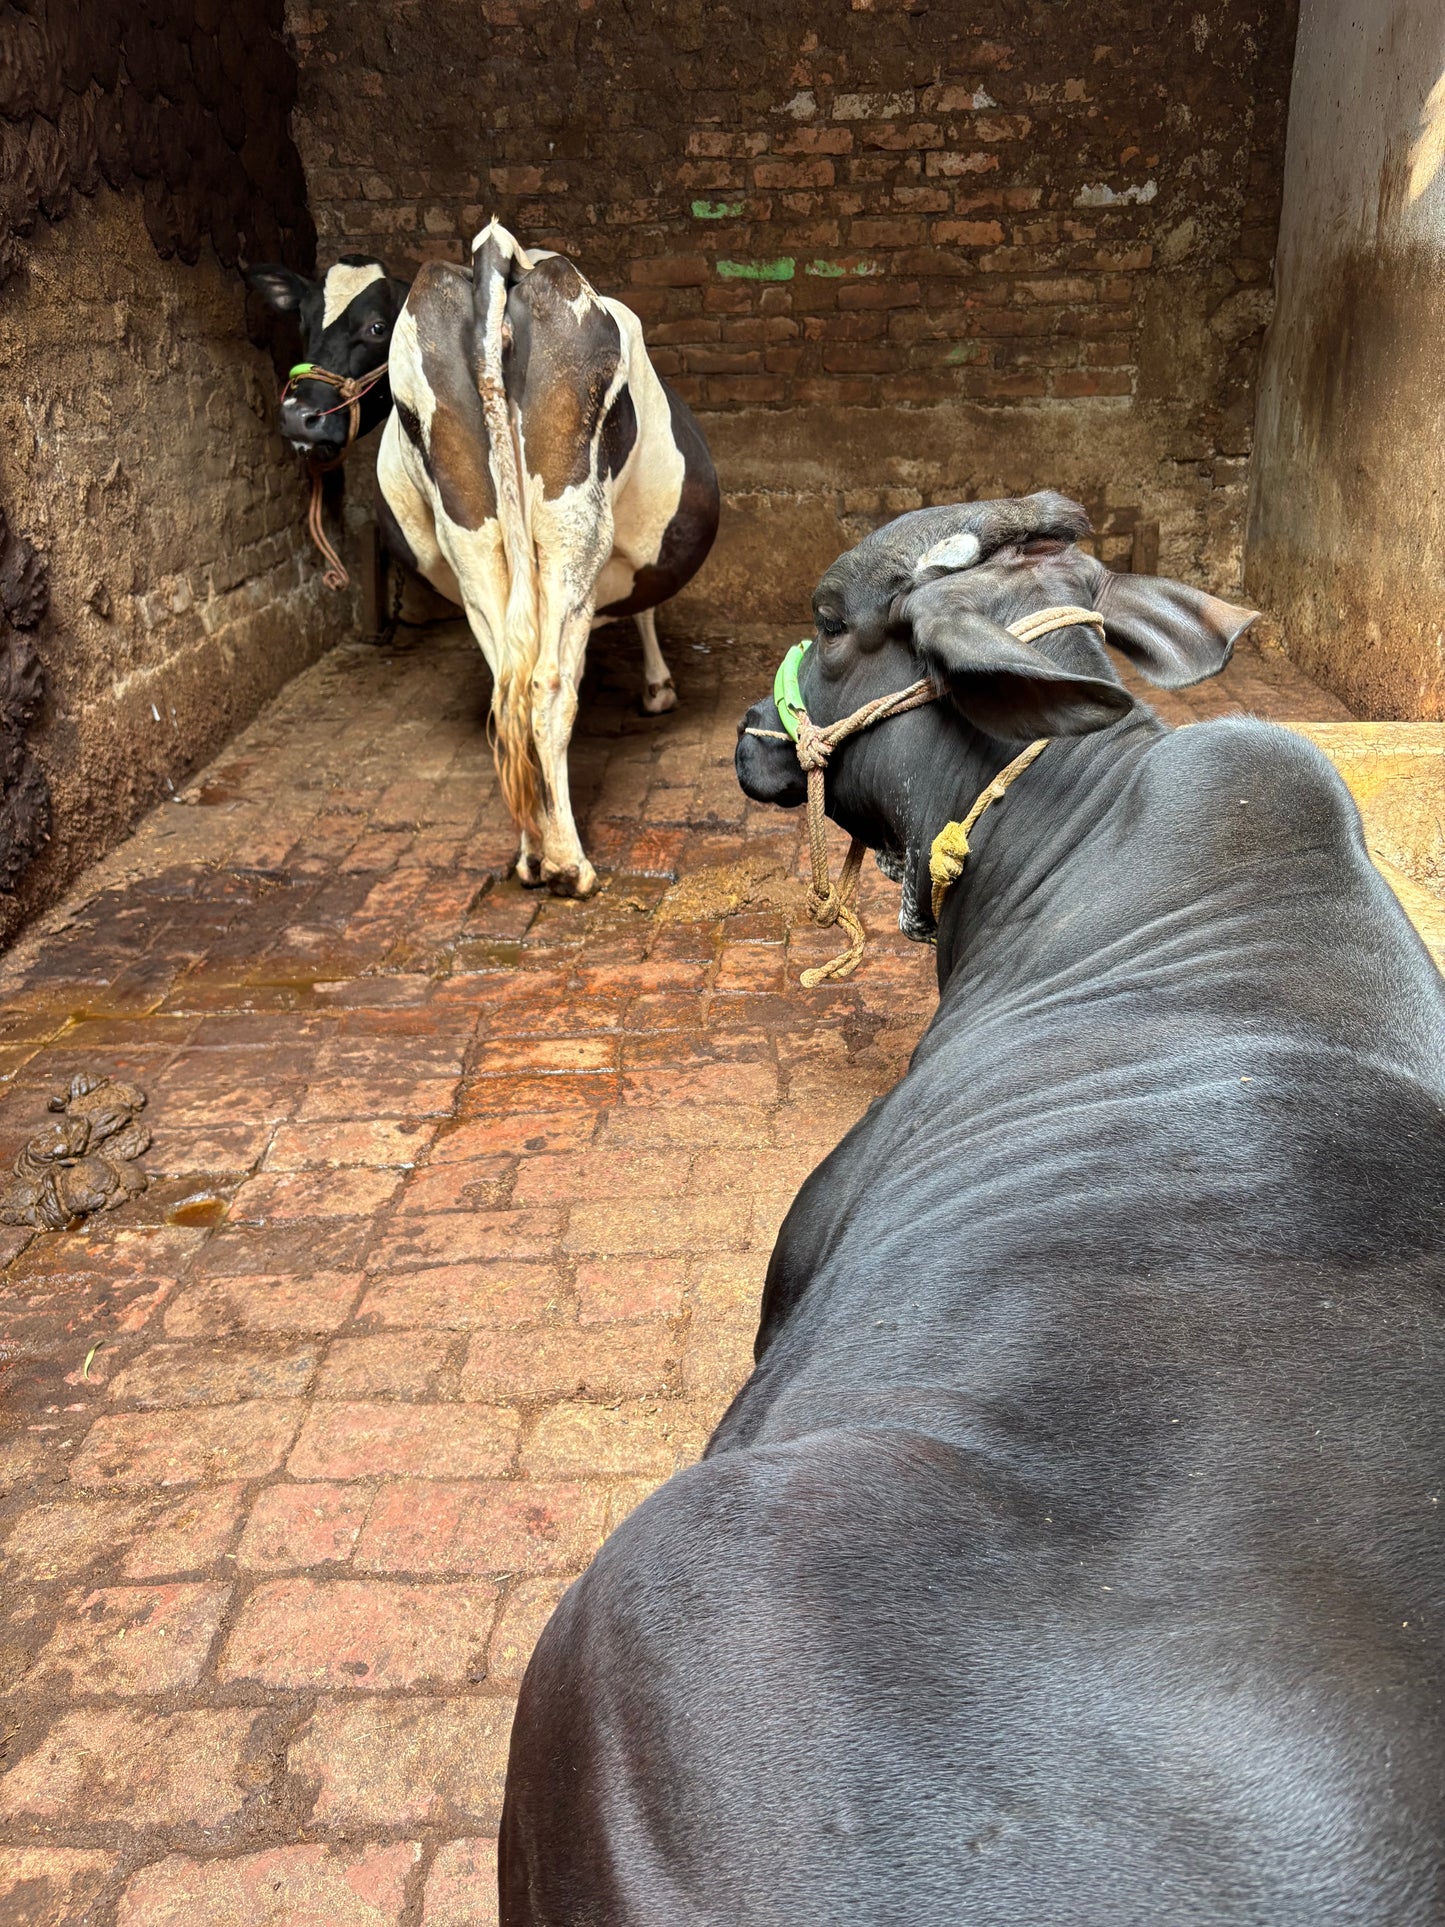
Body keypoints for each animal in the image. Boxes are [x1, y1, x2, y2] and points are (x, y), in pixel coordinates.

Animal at [379, 218, 720, 894]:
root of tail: (496, 255)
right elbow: (639, 611)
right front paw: (658, 686)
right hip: (572, 524)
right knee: (547, 687)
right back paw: (567, 863)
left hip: (474, 543)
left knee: (506, 697)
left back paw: (532, 851)